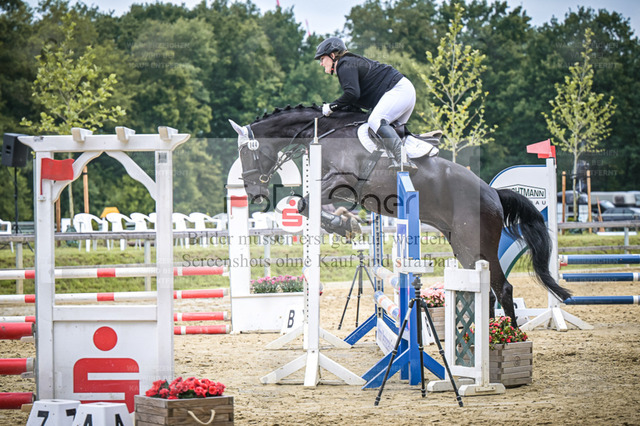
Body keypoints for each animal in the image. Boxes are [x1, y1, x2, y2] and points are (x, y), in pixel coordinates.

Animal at [229, 104, 571, 326]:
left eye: (245, 152)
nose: (252, 192)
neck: (325, 132)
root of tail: (493, 194)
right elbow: (308, 205)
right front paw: (346, 224)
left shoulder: (342, 180)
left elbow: (305, 204)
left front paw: (345, 225)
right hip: (462, 247)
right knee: (484, 288)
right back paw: (482, 337)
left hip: (477, 244)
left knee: (503, 289)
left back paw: (508, 337)